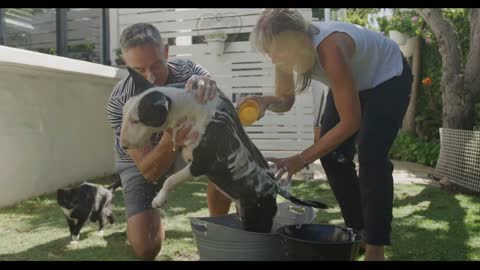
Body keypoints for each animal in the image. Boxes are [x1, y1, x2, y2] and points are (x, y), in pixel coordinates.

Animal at [120, 67, 326, 232]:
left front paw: (158, 199)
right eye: (123, 113)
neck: (187, 107)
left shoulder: (201, 164)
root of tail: (275, 188)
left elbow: (172, 179)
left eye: (137, 120)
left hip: (256, 217)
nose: (123, 146)